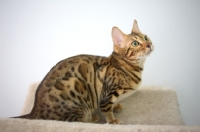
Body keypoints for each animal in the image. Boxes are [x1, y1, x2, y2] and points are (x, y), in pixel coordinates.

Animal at [14, 20, 153, 124]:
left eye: (146, 37)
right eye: (135, 43)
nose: (148, 44)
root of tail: (34, 110)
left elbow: (113, 104)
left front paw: (117, 106)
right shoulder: (107, 95)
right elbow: (107, 109)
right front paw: (112, 121)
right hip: (76, 85)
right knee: (74, 120)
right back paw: (93, 118)